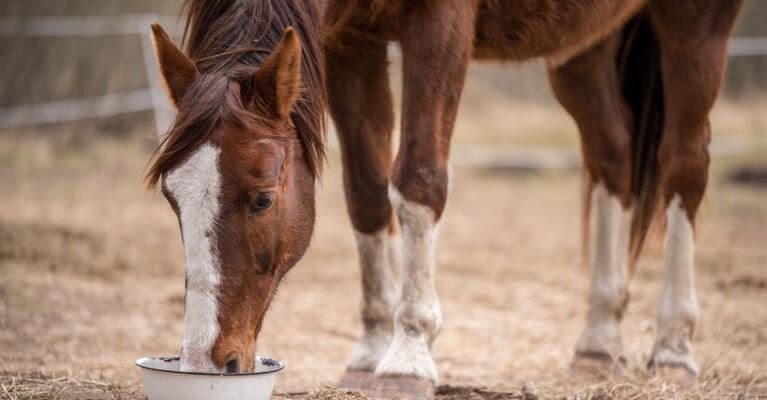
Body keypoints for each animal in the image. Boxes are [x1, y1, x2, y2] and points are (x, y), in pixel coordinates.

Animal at [324, 0, 744, 396]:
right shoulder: (349, 40)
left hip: (696, 31)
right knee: (611, 152)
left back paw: (673, 351)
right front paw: (371, 349)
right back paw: (598, 342)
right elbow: (365, 193)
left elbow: (418, 178)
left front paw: (408, 357)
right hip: (583, 47)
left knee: (684, 162)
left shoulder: (438, 23)